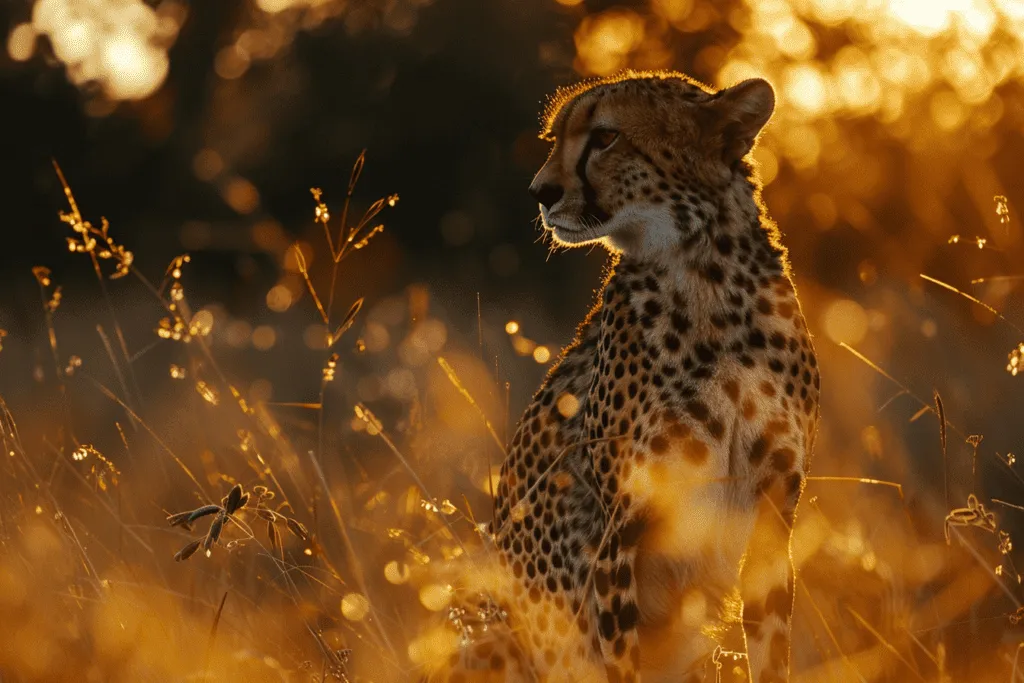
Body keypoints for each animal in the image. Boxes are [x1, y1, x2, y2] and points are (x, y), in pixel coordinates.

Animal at [428, 70, 820, 683]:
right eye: (556, 138)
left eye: (606, 138)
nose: (540, 193)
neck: (707, 278)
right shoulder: (623, 532)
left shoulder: (772, 518)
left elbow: (771, 650)